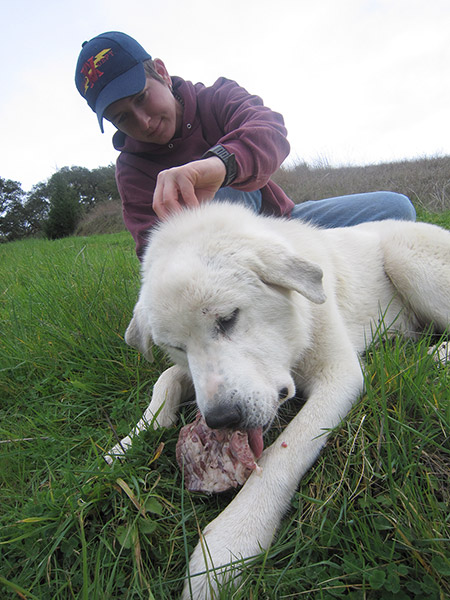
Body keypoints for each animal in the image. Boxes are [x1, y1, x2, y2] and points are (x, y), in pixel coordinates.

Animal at [106, 204, 450, 596]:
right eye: (176, 346)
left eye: (228, 319)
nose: (221, 419)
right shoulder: (191, 374)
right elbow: (165, 379)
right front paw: (132, 438)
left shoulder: (339, 374)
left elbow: (283, 454)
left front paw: (229, 544)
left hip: (407, 260)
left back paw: (430, 356)